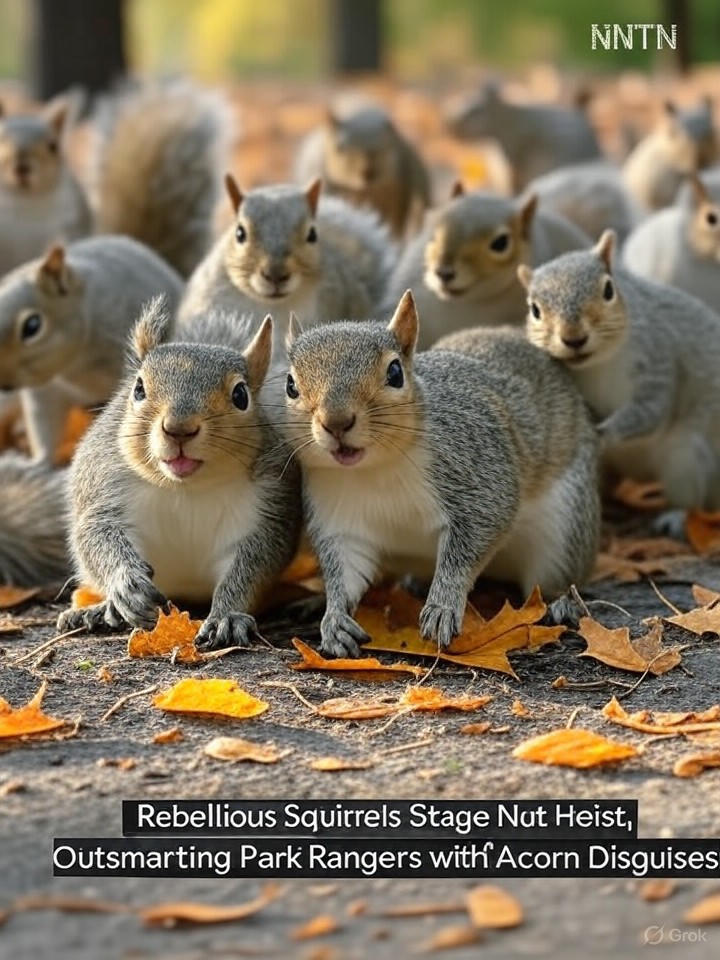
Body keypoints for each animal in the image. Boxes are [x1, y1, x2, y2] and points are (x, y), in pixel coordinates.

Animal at [0, 236, 183, 463]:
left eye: (32, 326)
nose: (4, 383)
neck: (74, 364)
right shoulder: (46, 391)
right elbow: (44, 427)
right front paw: (40, 461)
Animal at [57, 299, 302, 647]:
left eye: (241, 395)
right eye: (138, 389)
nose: (179, 429)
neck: (185, 488)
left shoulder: (266, 508)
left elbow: (252, 566)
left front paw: (226, 616)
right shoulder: (105, 488)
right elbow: (96, 536)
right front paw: (126, 583)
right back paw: (99, 611)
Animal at [282, 291, 600, 657]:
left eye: (395, 373)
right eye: (290, 385)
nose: (336, 422)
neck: (375, 469)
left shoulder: (478, 473)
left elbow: (474, 538)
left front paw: (443, 605)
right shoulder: (337, 513)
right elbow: (344, 570)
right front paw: (333, 617)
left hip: (565, 530)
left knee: (555, 578)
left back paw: (562, 602)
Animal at [520, 229, 720, 517]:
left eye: (608, 290)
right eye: (534, 309)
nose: (573, 338)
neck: (598, 364)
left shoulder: (658, 358)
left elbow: (651, 410)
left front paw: (603, 434)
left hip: (686, 461)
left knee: (689, 500)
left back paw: (675, 516)